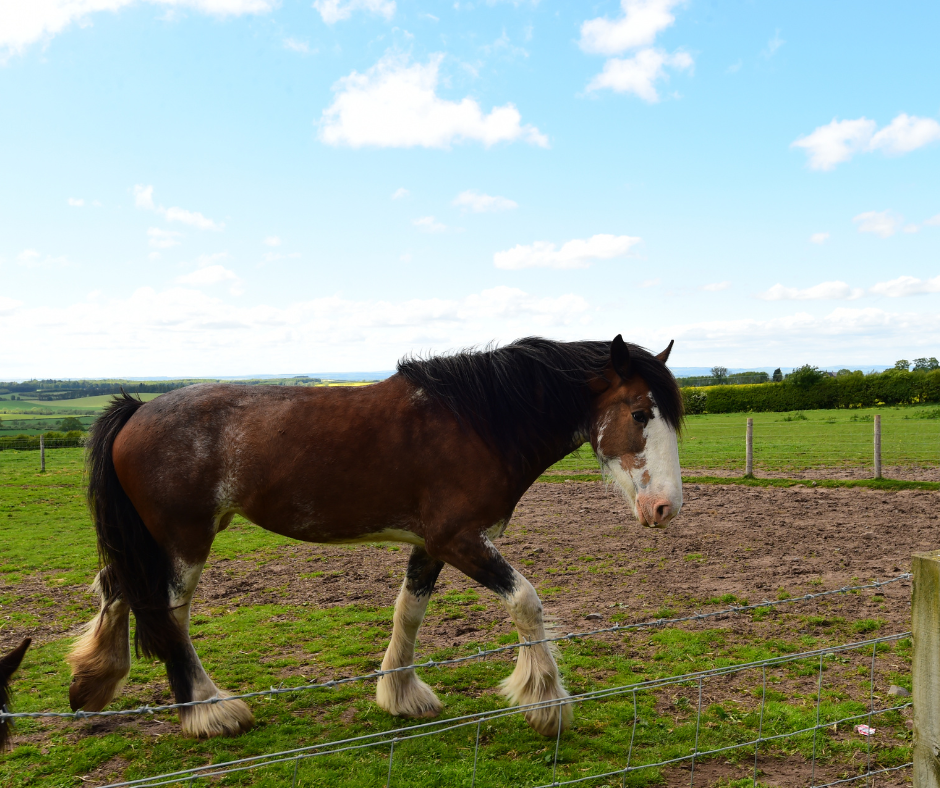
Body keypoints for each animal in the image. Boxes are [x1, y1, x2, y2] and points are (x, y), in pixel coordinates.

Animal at [66, 335, 684, 739]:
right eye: (638, 412)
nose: (664, 508)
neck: (478, 422)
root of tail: (138, 409)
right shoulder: (460, 540)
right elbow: (527, 602)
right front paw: (547, 705)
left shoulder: (431, 545)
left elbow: (408, 611)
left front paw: (401, 695)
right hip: (183, 540)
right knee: (168, 612)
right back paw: (207, 711)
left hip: (158, 541)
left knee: (118, 586)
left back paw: (93, 683)